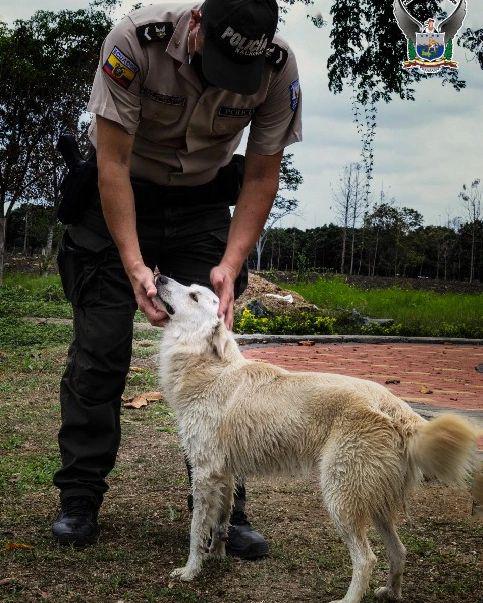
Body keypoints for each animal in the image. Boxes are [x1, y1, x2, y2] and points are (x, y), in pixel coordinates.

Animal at [156, 274, 480, 603]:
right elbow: (220, 520)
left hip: (340, 497)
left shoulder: (204, 473)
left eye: (194, 296)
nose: (159, 276)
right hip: (374, 502)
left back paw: (349, 599)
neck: (210, 367)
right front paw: (217, 555)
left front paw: (190, 570)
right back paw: (390, 592)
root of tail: (396, 406)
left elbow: (197, 528)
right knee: (399, 551)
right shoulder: (225, 474)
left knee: (367, 559)